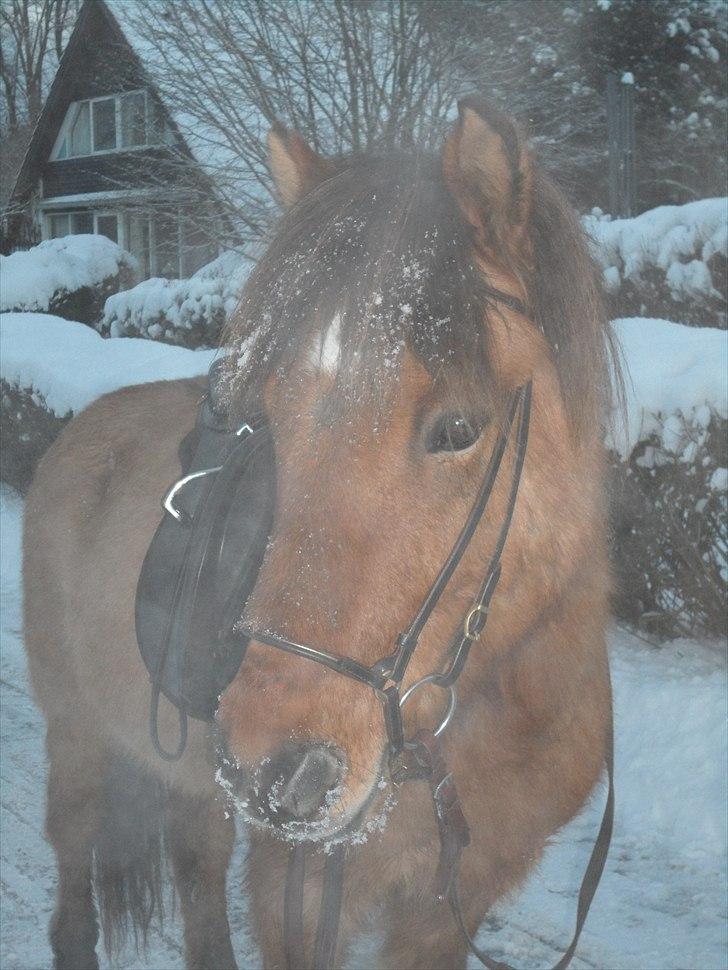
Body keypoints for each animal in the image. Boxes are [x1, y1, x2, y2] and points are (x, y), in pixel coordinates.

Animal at [23, 97, 615, 970]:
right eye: (269, 416)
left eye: (459, 429)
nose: (278, 770)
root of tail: (83, 424)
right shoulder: (295, 893)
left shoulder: (451, 907)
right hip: (78, 734)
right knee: (74, 867)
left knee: (197, 866)